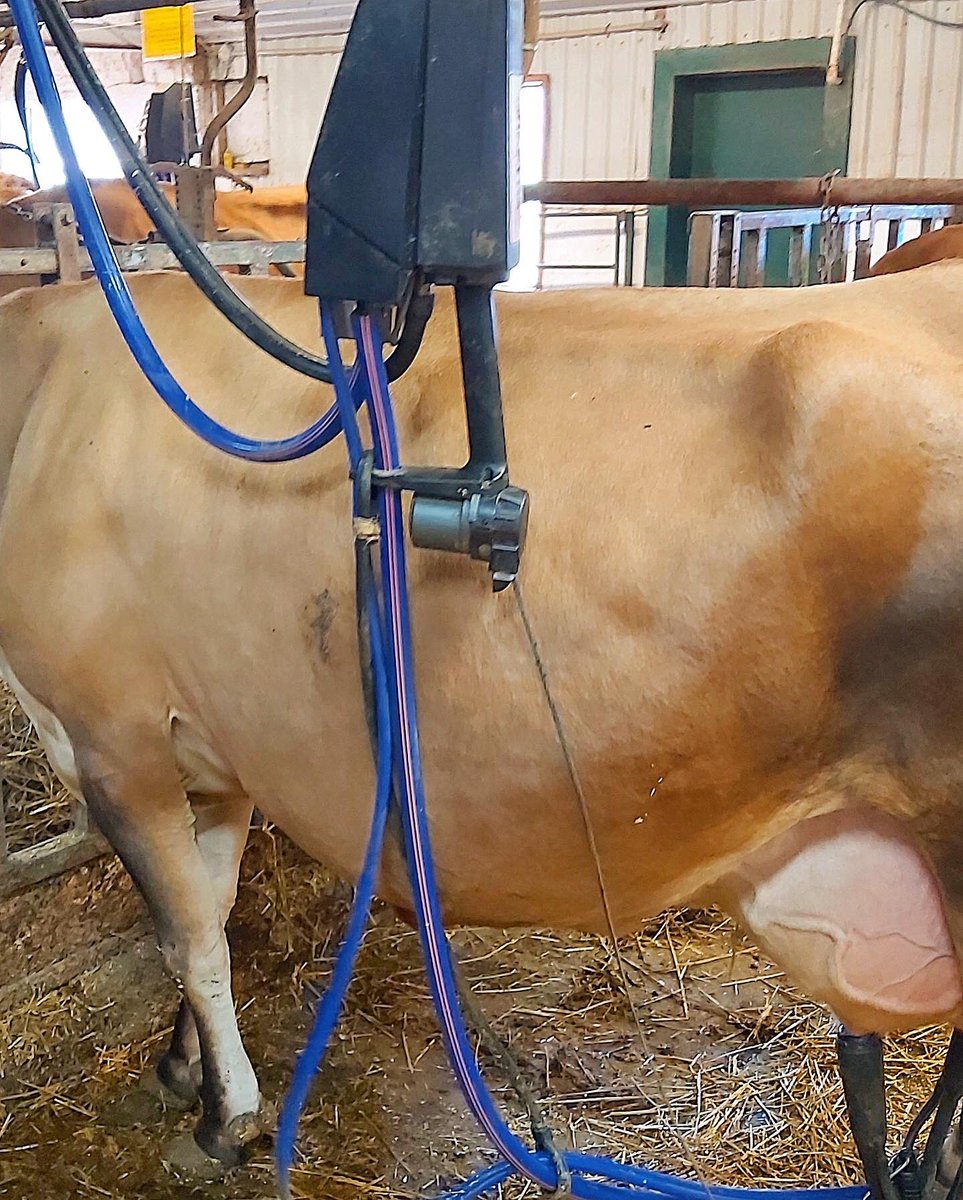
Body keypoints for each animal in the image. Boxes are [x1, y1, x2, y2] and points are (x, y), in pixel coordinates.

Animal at [1, 267, 963, 1174]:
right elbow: (217, 903)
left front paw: (224, 1117)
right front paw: (185, 1068)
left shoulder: (113, 735)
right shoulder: (208, 749)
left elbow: (188, 936)